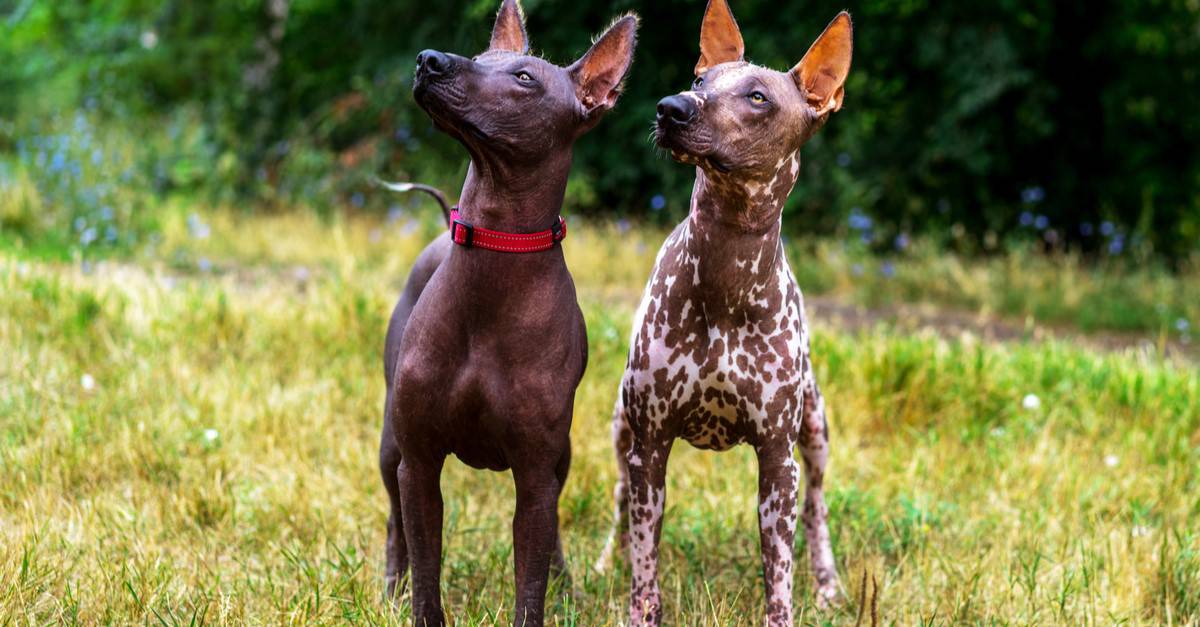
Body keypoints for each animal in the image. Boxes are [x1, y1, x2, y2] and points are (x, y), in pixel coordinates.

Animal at [376, 2, 638, 619]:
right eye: (480, 55)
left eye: (523, 78)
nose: (429, 59)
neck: (496, 253)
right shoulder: (420, 462)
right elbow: (426, 570)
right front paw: (414, 600)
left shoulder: (537, 475)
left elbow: (531, 582)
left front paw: (550, 591)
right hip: (390, 446)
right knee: (395, 522)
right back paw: (390, 586)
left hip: (561, 459)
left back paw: (568, 584)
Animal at [597, 2, 854, 619]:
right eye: (699, 80)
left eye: (757, 96)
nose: (671, 107)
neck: (726, 273)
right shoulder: (649, 445)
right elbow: (645, 566)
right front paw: (638, 609)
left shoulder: (778, 461)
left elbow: (779, 571)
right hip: (621, 427)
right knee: (618, 497)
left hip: (815, 432)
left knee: (817, 508)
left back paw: (829, 584)